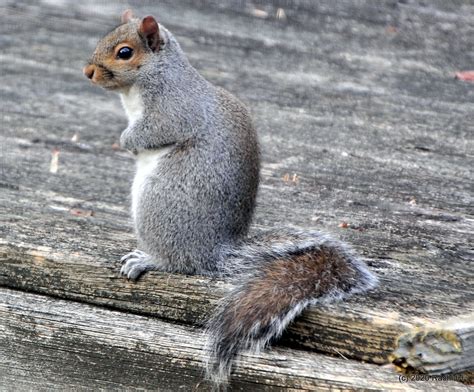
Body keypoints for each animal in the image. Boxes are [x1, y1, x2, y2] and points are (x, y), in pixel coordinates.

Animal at [82, 9, 378, 388]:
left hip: (161, 201)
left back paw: (150, 259)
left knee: (180, 263)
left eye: (124, 53)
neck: (150, 79)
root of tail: (215, 252)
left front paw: (127, 141)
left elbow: (155, 131)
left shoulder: (173, 110)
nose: (88, 71)